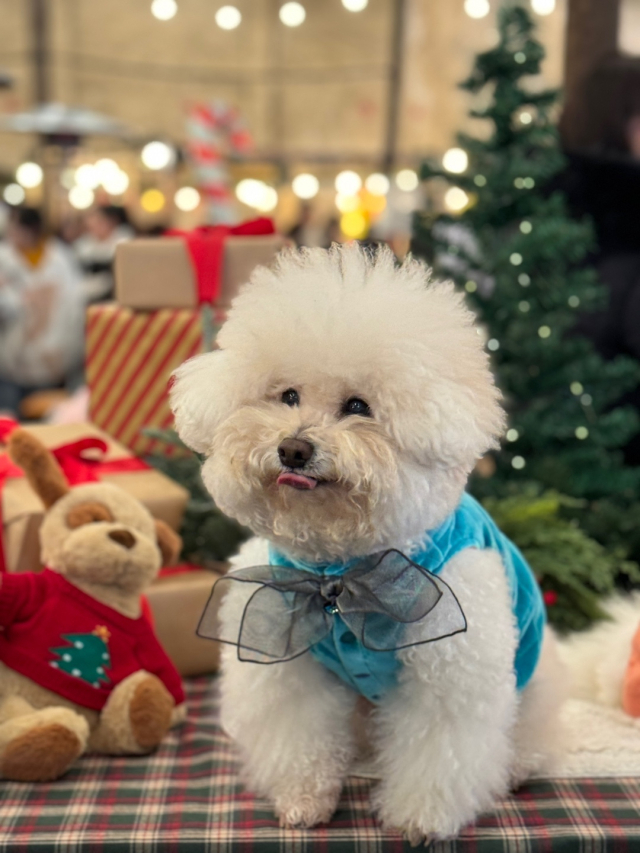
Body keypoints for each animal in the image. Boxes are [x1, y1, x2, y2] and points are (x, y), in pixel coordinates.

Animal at [171, 243, 564, 844]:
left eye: (358, 406)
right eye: (287, 395)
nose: (293, 449)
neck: (339, 573)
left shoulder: (446, 679)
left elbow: (439, 755)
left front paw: (422, 821)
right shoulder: (291, 672)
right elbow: (301, 739)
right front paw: (303, 800)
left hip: (534, 682)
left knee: (528, 740)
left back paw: (518, 766)